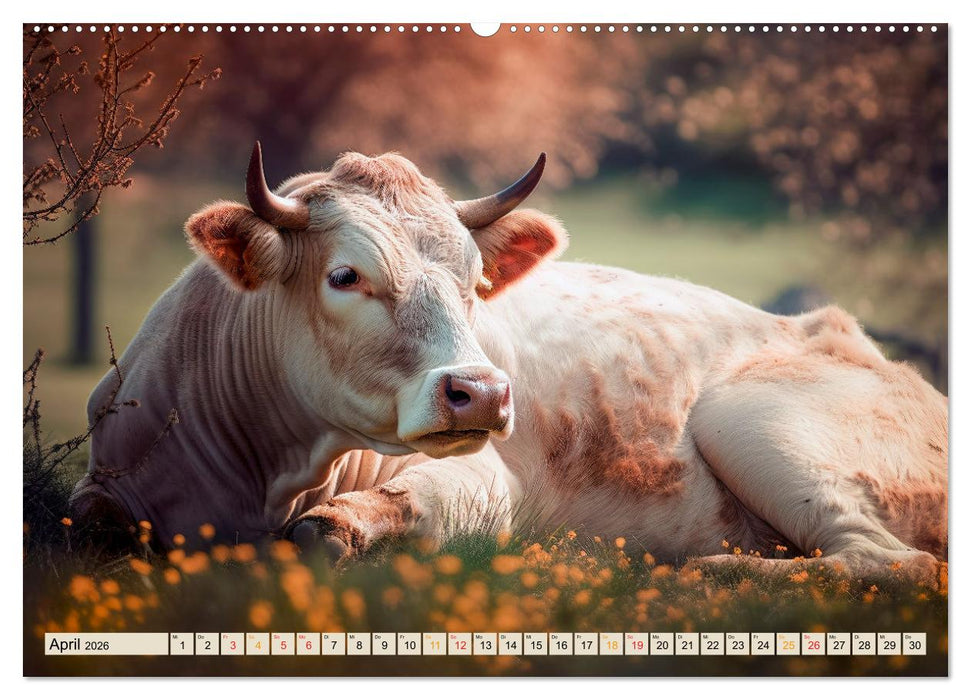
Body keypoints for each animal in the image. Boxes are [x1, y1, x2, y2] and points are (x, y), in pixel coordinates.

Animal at [70, 143, 948, 585]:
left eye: (472, 281)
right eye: (345, 275)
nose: (483, 392)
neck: (267, 471)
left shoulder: (486, 482)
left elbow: (342, 528)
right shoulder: (105, 485)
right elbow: (90, 526)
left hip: (756, 425)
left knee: (890, 562)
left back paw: (713, 572)